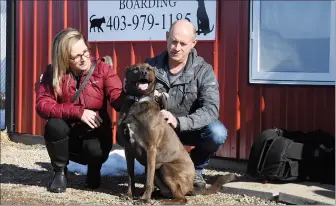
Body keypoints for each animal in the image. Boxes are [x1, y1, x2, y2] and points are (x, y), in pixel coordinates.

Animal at [117, 62, 238, 204]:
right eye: (135, 69)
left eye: (148, 69)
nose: (143, 73)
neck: (137, 101)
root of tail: (191, 186)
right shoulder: (128, 149)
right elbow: (130, 176)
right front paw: (129, 194)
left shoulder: (150, 149)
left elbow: (148, 180)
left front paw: (145, 199)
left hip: (164, 167)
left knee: (182, 198)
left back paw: (162, 201)